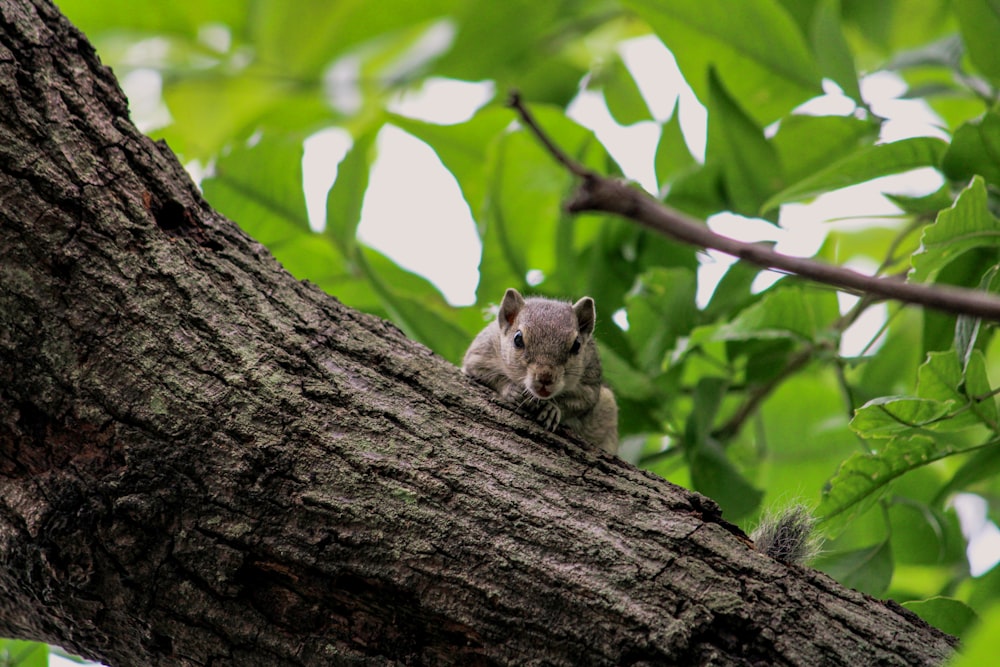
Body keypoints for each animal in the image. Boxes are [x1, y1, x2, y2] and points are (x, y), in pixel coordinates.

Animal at [460, 288, 616, 454]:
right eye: (517, 339)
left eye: (577, 345)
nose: (545, 377)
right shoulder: (480, 354)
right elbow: (484, 374)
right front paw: (511, 389)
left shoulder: (590, 382)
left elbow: (581, 402)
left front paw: (552, 408)